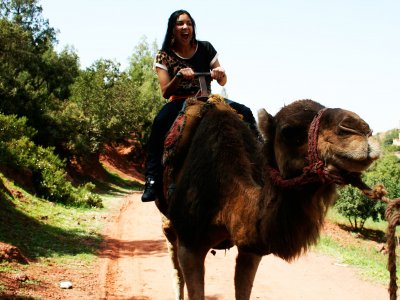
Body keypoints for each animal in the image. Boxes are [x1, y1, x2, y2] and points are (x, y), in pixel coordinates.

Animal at [155, 97, 380, 298]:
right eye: (289, 132)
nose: (359, 129)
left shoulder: (252, 250)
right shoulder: (189, 242)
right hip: (169, 226)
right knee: (177, 274)